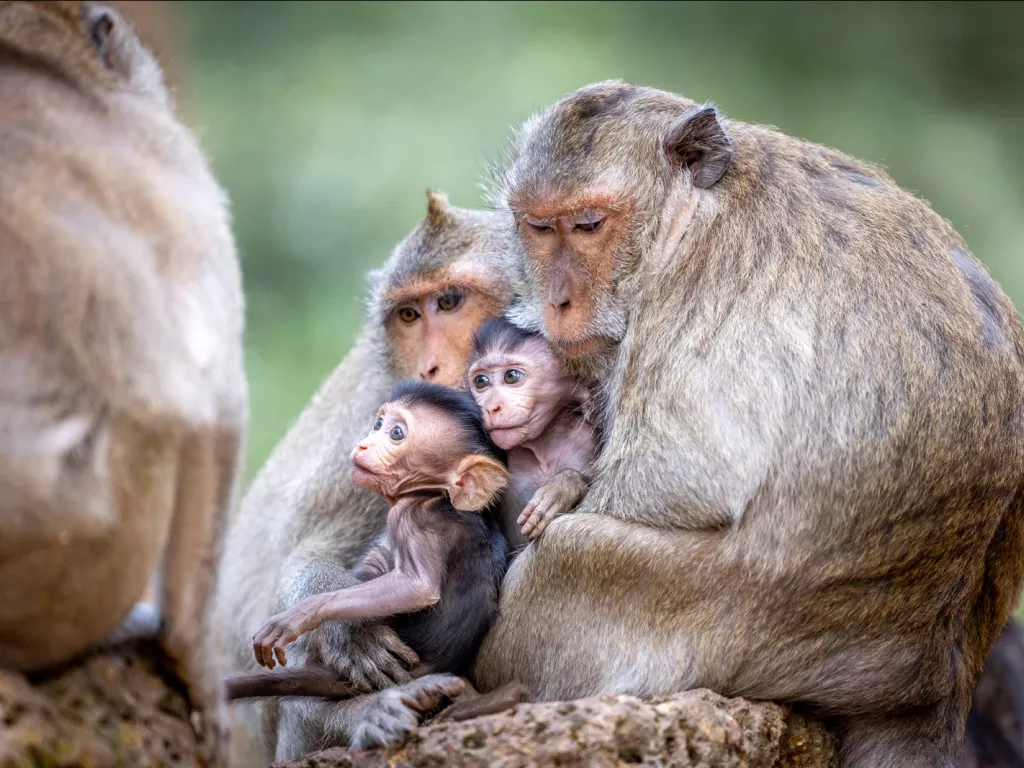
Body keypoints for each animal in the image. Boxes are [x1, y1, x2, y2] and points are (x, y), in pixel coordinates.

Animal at [225, 382, 528, 724]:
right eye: (378, 424)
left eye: (396, 433)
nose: (363, 445)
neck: (434, 495)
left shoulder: (409, 518)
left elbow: (417, 587)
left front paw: (303, 615)